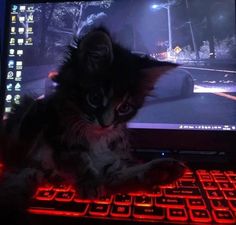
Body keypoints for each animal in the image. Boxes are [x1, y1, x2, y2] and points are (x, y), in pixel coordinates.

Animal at [0, 27, 186, 224]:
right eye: (95, 98)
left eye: (124, 107)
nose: (106, 124)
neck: (95, 137)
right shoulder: (58, 136)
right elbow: (77, 156)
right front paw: (89, 181)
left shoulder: (111, 161)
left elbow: (123, 173)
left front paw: (159, 170)